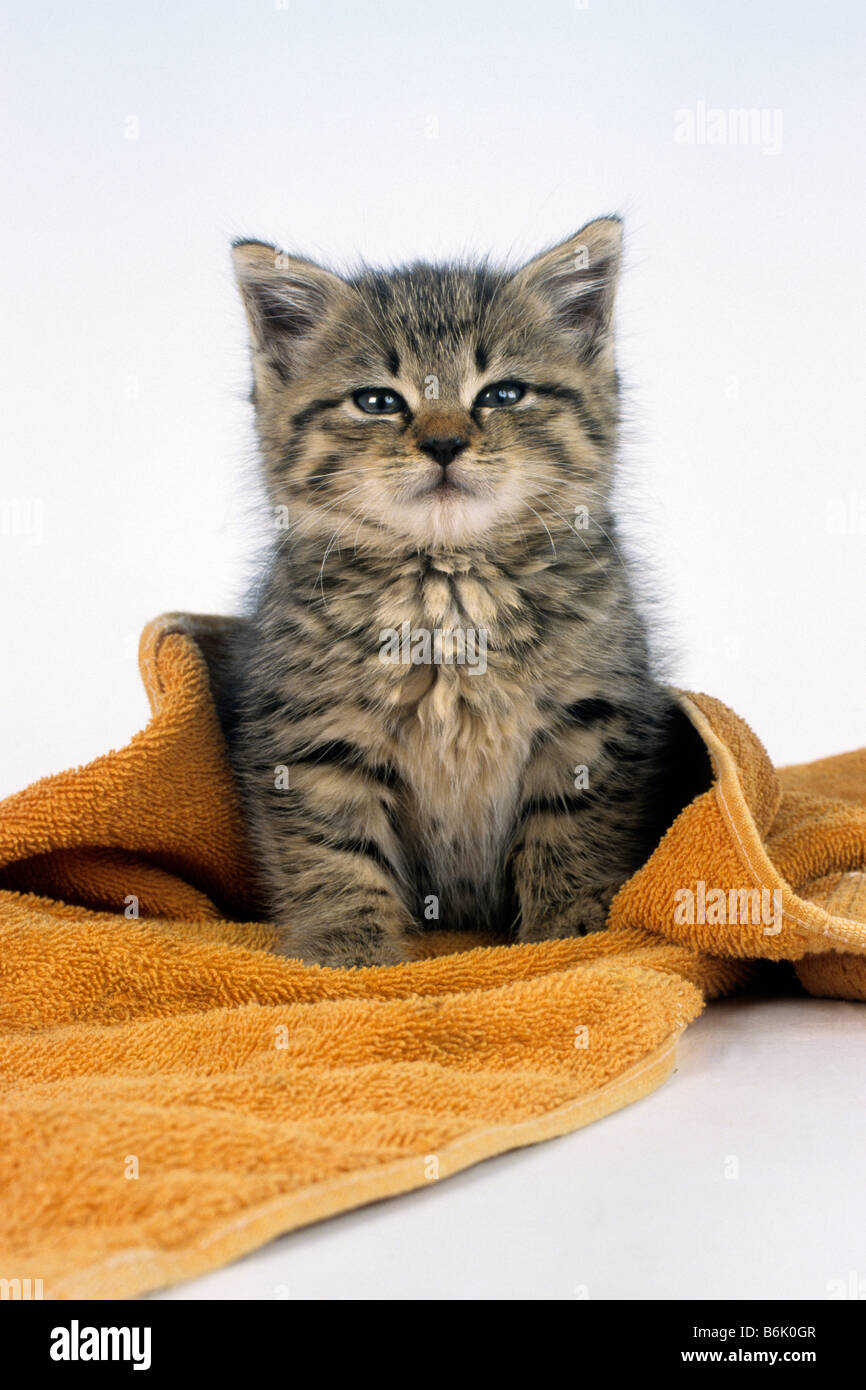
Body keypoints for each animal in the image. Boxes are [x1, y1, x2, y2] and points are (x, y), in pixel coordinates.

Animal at [226, 222, 700, 973]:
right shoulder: (311, 735)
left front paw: (569, 923)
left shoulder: (590, 719)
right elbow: (332, 850)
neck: (449, 588)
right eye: (378, 401)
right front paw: (345, 946)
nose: (445, 442)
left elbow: (570, 828)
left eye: (503, 394)